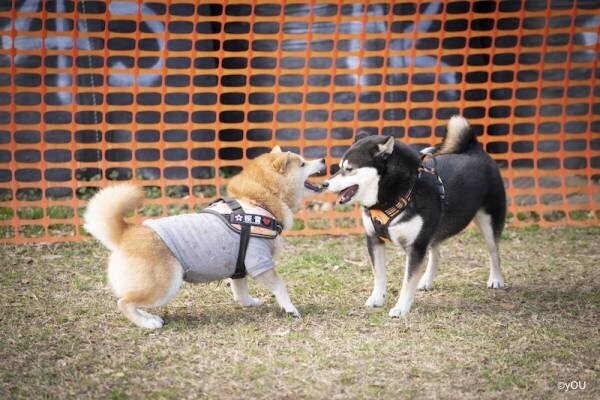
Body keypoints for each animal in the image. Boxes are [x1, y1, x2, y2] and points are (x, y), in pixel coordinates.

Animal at [84, 147, 324, 328]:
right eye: (303, 164)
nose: (322, 159)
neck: (257, 202)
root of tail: (126, 233)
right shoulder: (259, 261)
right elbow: (280, 286)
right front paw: (290, 309)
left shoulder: (239, 266)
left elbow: (240, 291)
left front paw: (249, 303)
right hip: (164, 286)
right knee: (124, 302)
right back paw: (148, 322)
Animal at [326, 116, 504, 318]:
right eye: (339, 167)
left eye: (349, 169)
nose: (324, 184)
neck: (397, 193)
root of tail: (475, 149)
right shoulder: (374, 239)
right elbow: (379, 274)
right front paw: (377, 298)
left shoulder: (416, 247)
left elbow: (407, 281)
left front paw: (401, 308)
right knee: (436, 253)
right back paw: (426, 280)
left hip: (489, 221)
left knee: (494, 252)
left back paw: (496, 279)